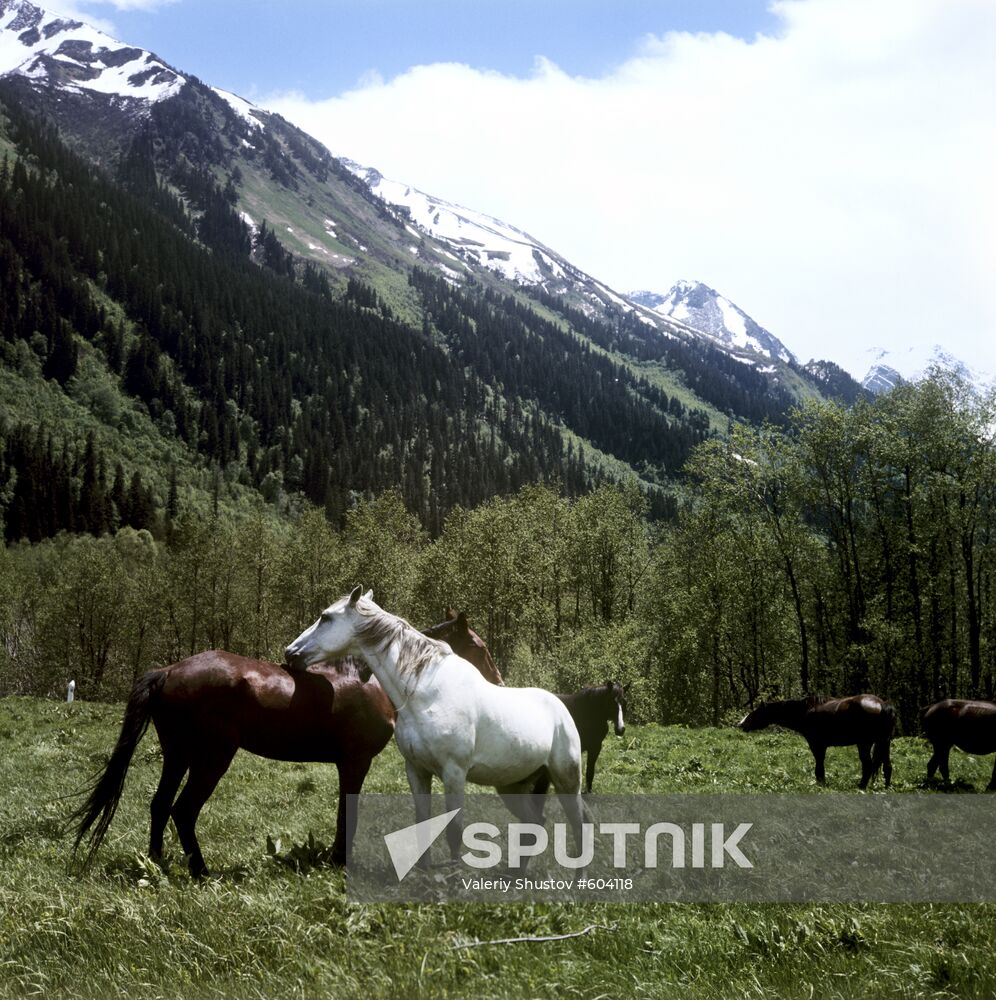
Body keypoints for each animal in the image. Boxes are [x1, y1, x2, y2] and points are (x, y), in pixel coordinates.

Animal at [70, 648, 392, 876]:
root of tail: (168, 671)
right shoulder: (355, 761)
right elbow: (347, 813)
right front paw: (340, 861)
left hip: (177, 755)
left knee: (160, 804)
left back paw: (157, 864)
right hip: (212, 759)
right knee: (183, 811)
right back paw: (202, 873)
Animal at [284, 584, 588, 860]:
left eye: (326, 617)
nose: (290, 652)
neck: (427, 692)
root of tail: (561, 708)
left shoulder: (454, 773)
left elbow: (455, 832)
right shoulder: (417, 770)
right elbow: (422, 826)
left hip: (567, 779)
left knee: (579, 822)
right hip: (513, 786)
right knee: (535, 824)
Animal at [740, 696, 896, 788]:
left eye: (756, 712)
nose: (741, 724)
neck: (805, 711)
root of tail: (883, 704)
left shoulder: (816, 744)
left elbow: (819, 766)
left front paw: (821, 783)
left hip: (864, 744)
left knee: (868, 765)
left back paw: (861, 786)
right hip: (884, 742)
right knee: (887, 766)